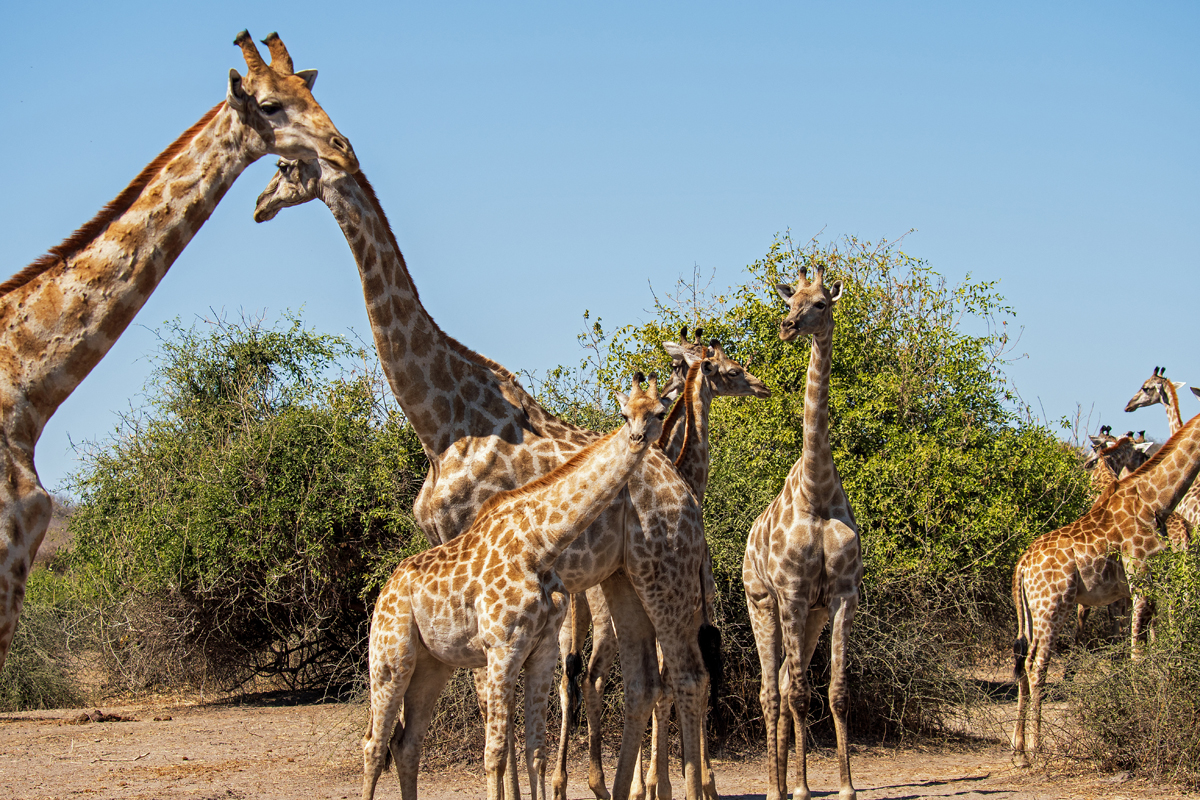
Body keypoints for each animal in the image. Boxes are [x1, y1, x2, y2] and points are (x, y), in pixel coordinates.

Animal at [362, 374, 670, 800]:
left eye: (659, 413)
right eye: (624, 414)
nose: (639, 437)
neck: (541, 543)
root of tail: (385, 591)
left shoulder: (542, 650)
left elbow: (535, 750)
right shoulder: (502, 647)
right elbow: (494, 754)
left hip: (433, 665)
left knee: (406, 744)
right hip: (390, 656)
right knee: (375, 746)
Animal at [1011, 412, 1200, 763]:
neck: (1157, 499)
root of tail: (1022, 565)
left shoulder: (1134, 591)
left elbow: (1133, 650)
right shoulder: (1142, 583)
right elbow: (1137, 654)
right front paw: (1144, 718)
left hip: (1030, 611)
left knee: (1024, 660)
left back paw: (1018, 746)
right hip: (1053, 606)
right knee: (1037, 664)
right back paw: (1036, 748)